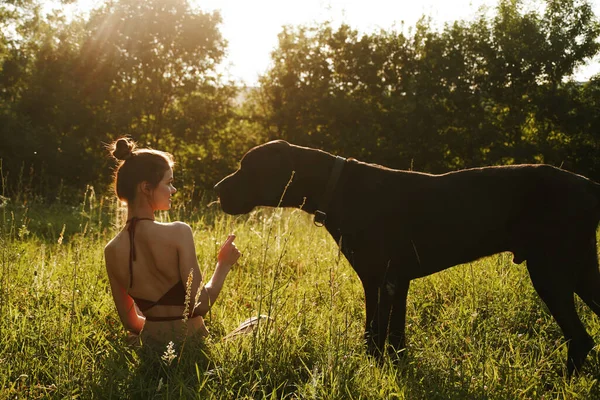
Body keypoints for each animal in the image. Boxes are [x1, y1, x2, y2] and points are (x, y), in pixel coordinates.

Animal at [214, 141, 600, 376]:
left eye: (247, 167)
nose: (217, 188)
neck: (337, 187)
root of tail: (589, 185)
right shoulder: (396, 283)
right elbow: (395, 339)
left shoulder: (378, 279)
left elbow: (374, 334)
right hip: (581, 272)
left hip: (551, 273)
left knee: (580, 338)